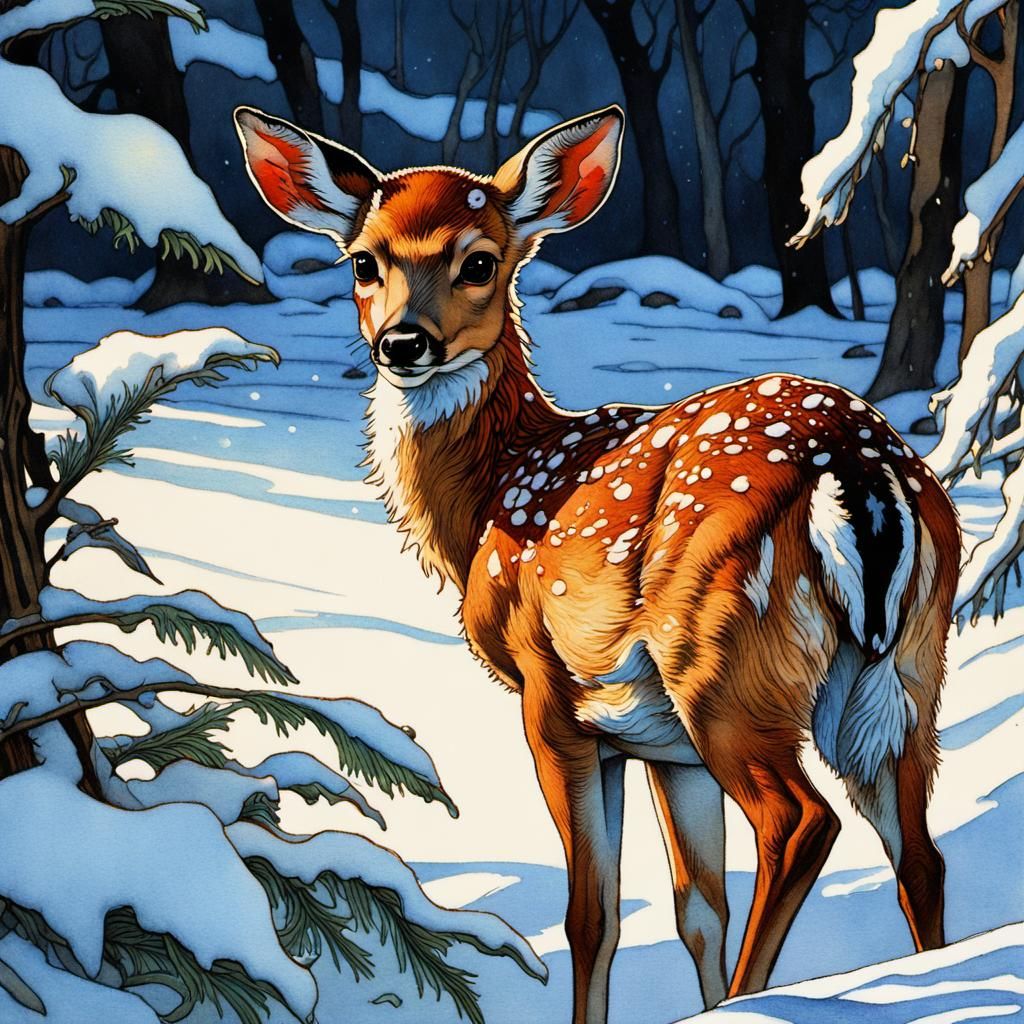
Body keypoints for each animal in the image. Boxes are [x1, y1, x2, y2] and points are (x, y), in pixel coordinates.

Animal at [235, 104, 960, 1024]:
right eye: (365, 261)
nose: (404, 342)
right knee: (920, 858)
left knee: (800, 824)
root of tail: (857, 465)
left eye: (480, 261)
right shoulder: (663, 748)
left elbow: (594, 916)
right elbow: (697, 908)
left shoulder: (552, 698)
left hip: (722, 664)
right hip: (900, 680)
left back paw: (753, 999)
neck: (495, 494)